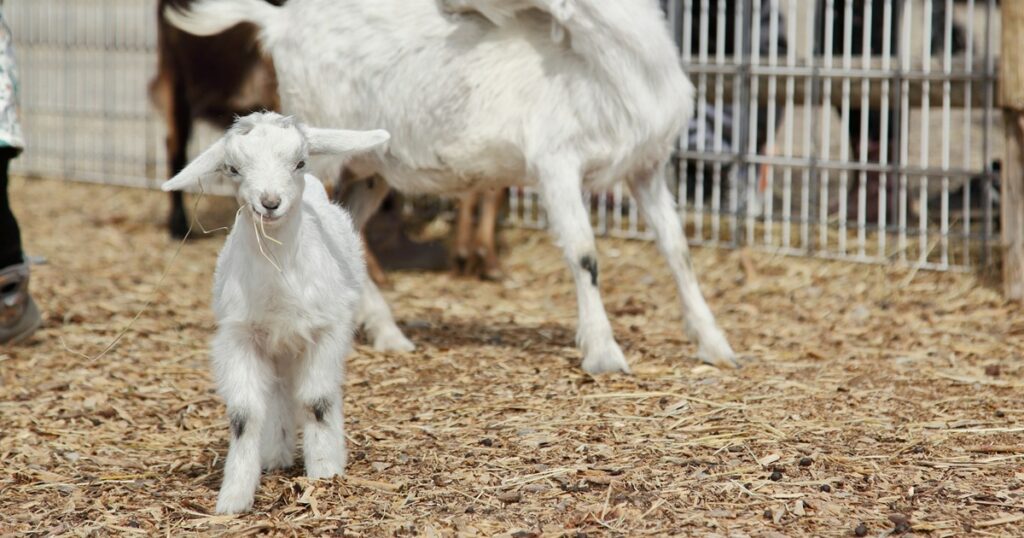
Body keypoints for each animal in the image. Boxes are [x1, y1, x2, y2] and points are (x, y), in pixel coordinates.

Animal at [161, 112, 390, 514]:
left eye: (299, 162)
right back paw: (276, 454)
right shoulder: (239, 336)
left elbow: (317, 402)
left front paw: (324, 473)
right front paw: (234, 497)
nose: (269, 202)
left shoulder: (325, 331)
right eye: (233, 168)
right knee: (280, 390)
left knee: (324, 391)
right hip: (277, 345)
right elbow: (244, 414)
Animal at [167, 0, 738, 373]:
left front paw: (715, 344)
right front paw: (603, 353)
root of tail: (279, 20)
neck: (600, 57)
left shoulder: (647, 167)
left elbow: (679, 250)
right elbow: (585, 254)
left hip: (371, 166)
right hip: (319, 154)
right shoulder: (557, 161)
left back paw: (387, 333)